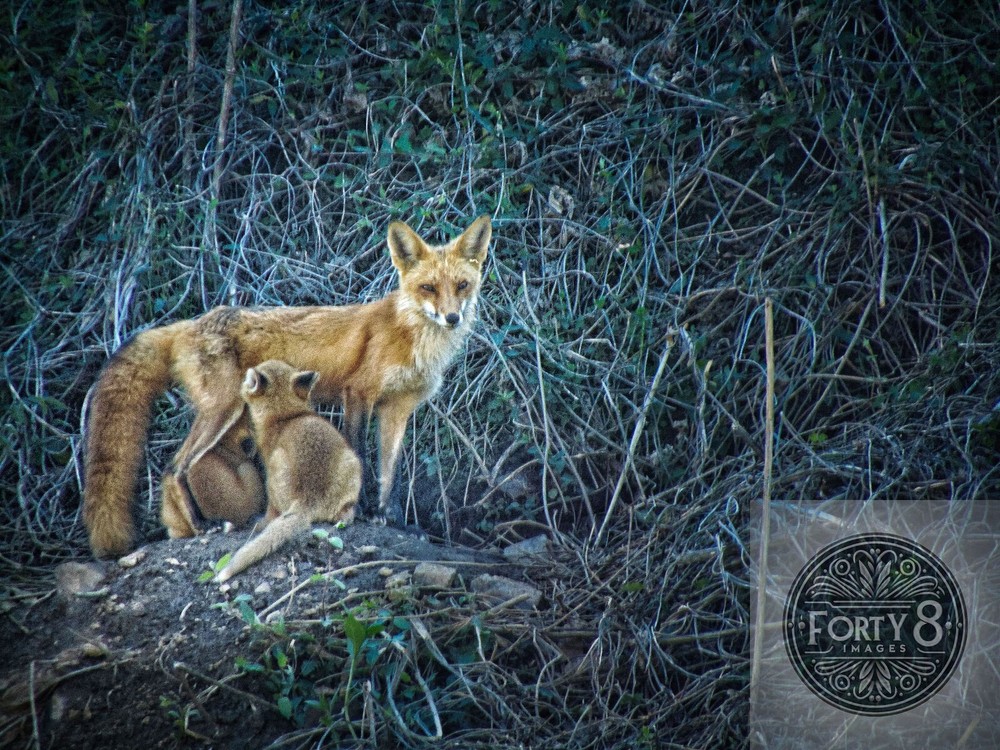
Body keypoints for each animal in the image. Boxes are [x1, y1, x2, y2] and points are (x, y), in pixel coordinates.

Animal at [82, 215, 491, 558]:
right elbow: (359, 455)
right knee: (174, 466)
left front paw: (394, 521)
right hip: (223, 408)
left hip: (227, 415)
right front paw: (358, 512)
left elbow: (391, 475)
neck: (411, 336)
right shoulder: (358, 394)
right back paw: (201, 525)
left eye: (461, 286)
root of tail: (189, 323)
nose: (452, 318)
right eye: (428, 288)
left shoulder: (397, 409)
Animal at [214, 360, 361, 583]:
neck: (285, 416)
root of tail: (308, 499)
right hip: (353, 463)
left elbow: (269, 512)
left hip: (275, 470)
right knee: (344, 515)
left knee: (275, 513)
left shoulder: (267, 462)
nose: (242, 372)